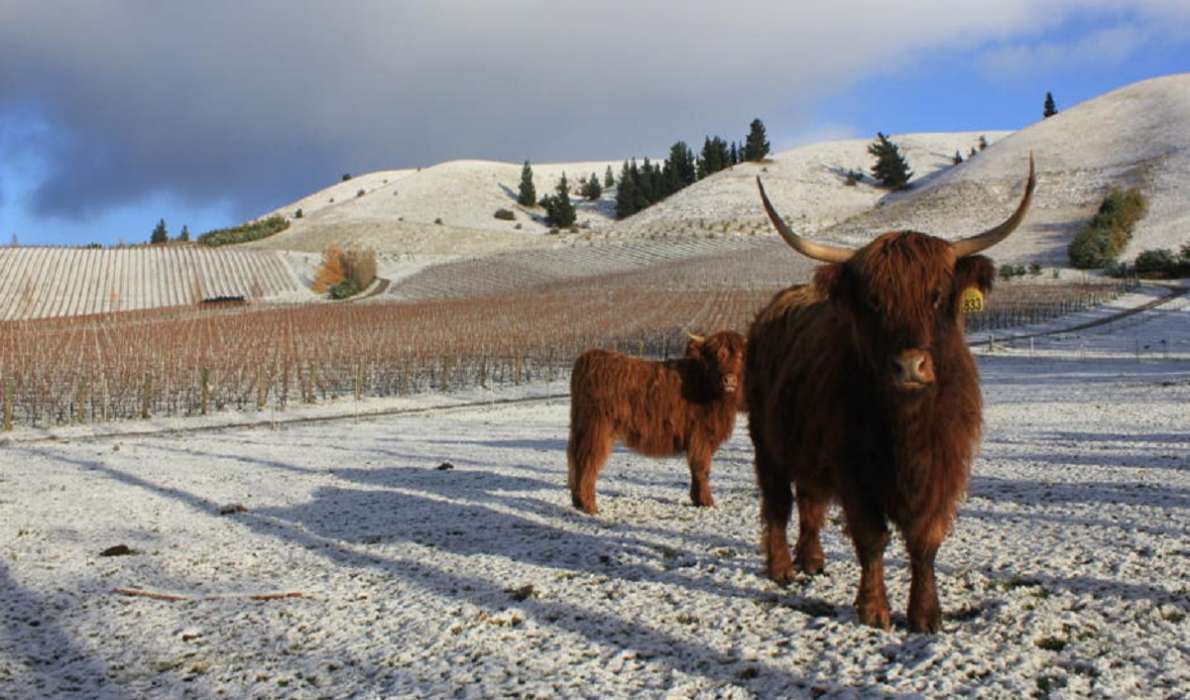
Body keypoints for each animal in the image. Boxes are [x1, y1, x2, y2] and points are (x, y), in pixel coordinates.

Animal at [564, 330, 742, 511]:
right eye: (716, 355)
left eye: (741, 356)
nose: (729, 380)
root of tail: (589, 357)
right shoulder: (700, 436)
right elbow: (702, 469)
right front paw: (706, 501)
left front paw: (698, 499)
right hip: (596, 428)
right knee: (587, 461)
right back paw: (589, 506)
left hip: (581, 426)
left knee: (576, 459)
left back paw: (577, 501)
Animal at [747, 155, 1037, 633]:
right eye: (874, 301)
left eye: (936, 295)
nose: (909, 366)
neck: (907, 428)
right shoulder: (854, 472)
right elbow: (872, 538)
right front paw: (874, 610)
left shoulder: (945, 467)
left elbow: (925, 540)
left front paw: (925, 614)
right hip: (766, 443)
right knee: (778, 503)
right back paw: (782, 567)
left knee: (809, 499)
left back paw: (813, 559)